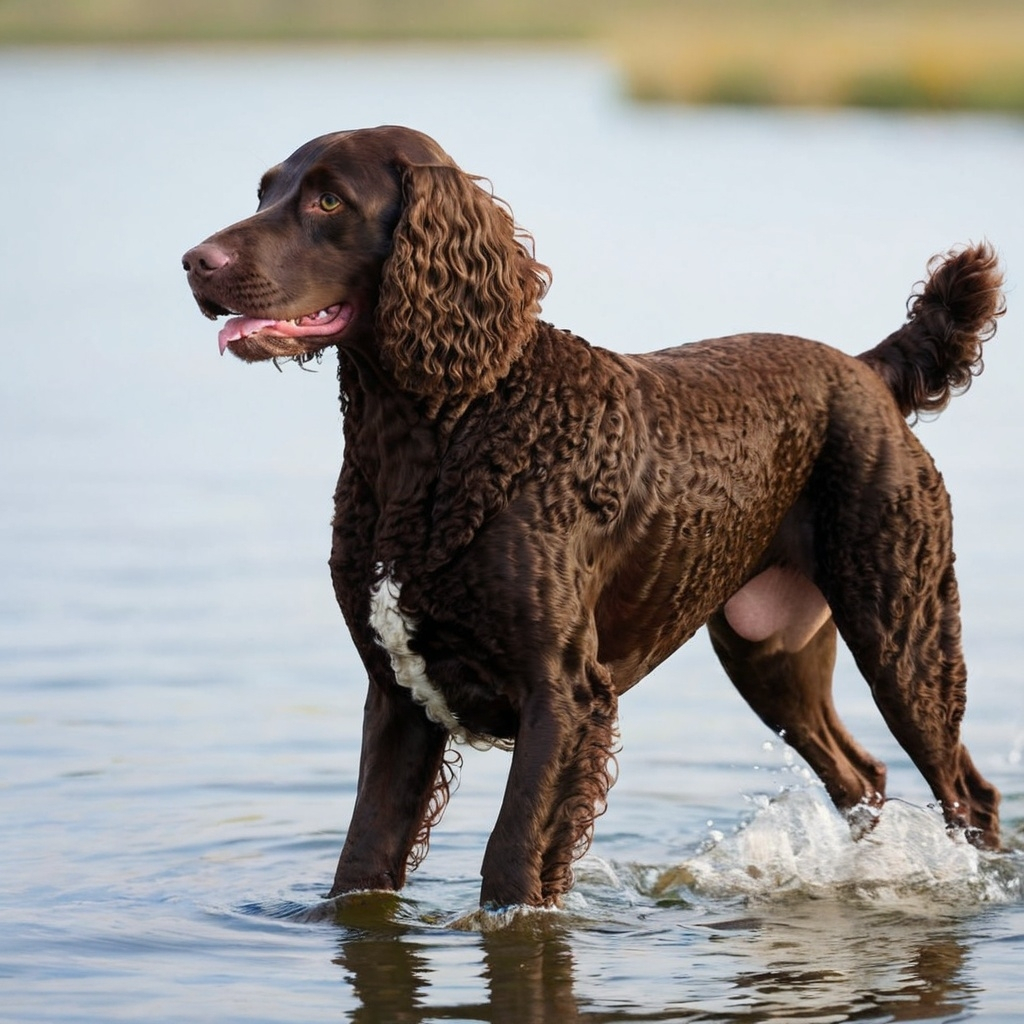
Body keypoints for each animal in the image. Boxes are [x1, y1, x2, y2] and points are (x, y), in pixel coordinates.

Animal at [182, 125, 999, 905]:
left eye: (328, 201)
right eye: (265, 191)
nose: (194, 261)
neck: (444, 437)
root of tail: (866, 369)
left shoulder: (565, 695)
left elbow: (510, 863)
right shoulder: (397, 698)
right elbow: (361, 864)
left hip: (905, 636)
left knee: (968, 792)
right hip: (771, 655)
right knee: (862, 778)